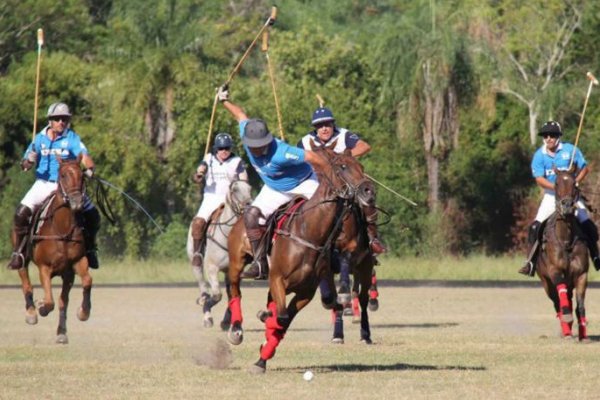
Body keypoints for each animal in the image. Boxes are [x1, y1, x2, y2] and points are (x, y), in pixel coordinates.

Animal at [16, 155, 92, 344]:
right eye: (63, 175)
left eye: (82, 175)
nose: (77, 202)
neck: (62, 228)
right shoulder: (45, 267)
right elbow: (50, 301)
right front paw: (42, 307)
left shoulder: (75, 264)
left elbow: (86, 282)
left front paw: (83, 313)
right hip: (22, 253)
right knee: (24, 277)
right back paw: (31, 312)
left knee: (63, 299)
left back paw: (61, 331)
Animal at [188, 180, 253, 328]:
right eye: (235, 189)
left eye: (250, 188)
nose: (248, 205)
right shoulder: (212, 267)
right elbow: (217, 295)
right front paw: (207, 316)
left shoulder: (236, 270)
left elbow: (234, 294)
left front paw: (227, 321)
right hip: (194, 256)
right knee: (198, 272)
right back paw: (203, 298)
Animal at [226, 146, 376, 372]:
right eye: (342, 166)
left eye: (361, 166)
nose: (369, 191)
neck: (309, 233)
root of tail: (242, 213)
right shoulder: (277, 279)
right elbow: (281, 318)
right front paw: (265, 334)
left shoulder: (306, 291)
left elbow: (284, 321)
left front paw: (262, 356)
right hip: (237, 262)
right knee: (235, 290)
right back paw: (236, 330)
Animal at [536, 166, 588, 340]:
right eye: (556, 183)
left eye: (574, 183)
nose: (567, 205)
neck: (566, 239)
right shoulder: (555, 272)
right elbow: (562, 302)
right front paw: (567, 322)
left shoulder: (581, 274)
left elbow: (580, 305)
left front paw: (583, 334)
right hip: (546, 282)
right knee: (557, 303)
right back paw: (566, 330)